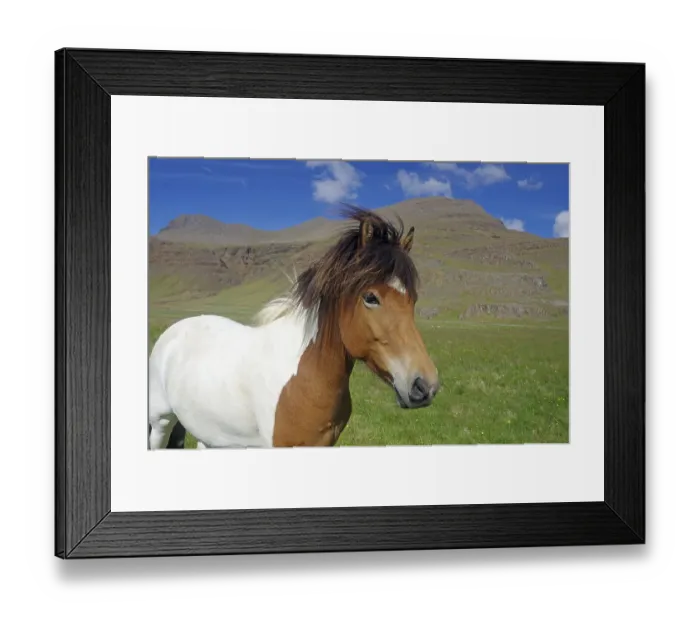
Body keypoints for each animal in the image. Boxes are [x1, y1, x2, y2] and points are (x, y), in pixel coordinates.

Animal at [147, 206, 440, 450]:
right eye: (371, 297)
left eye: (413, 299)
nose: (425, 386)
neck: (305, 377)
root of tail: (174, 330)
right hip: (161, 422)